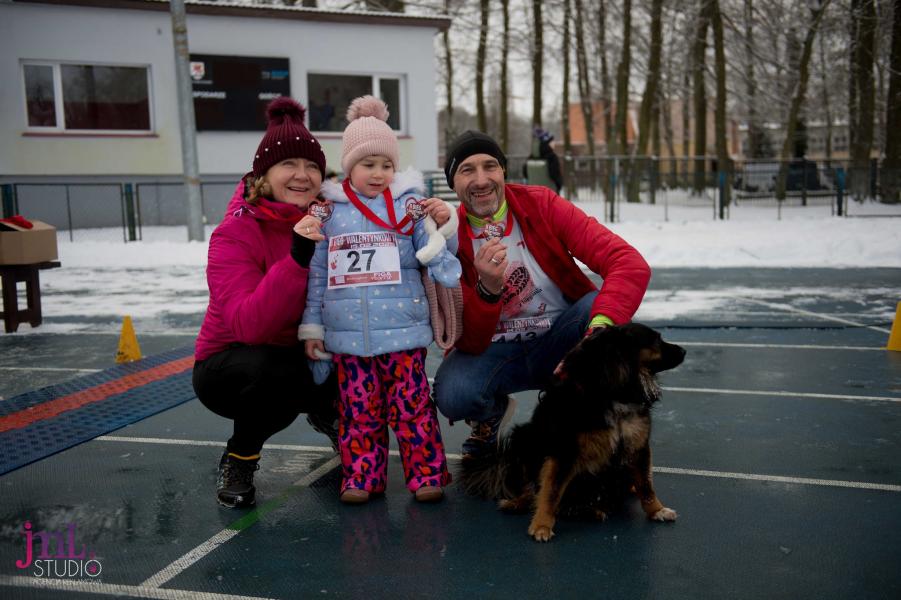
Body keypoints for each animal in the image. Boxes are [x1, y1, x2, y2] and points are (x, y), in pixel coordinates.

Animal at [460, 326, 684, 540]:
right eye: (656, 340)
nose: (684, 351)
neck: (612, 392)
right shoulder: (564, 451)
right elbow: (550, 491)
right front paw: (541, 525)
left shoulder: (638, 445)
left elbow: (646, 486)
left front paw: (657, 510)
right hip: (522, 438)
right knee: (531, 488)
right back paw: (518, 502)